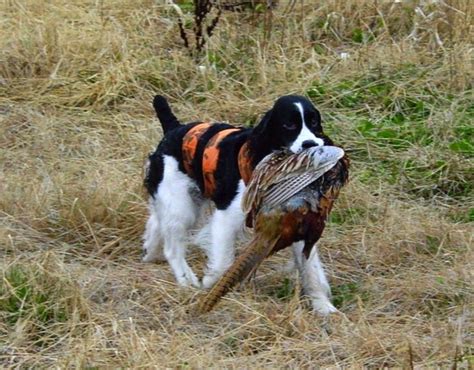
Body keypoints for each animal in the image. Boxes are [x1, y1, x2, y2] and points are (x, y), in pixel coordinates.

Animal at [142, 95, 336, 316]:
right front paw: (211, 283)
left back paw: (150, 252)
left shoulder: (295, 221)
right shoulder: (227, 218)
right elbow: (224, 261)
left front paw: (322, 305)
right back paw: (186, 279)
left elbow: (310, 268)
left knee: (156, 222)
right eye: (289, 125)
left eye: (314, 122)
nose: (311, 144)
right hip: (182, 206)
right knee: (172, 247)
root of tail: (174, 128)